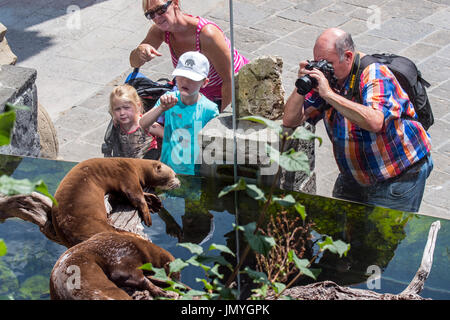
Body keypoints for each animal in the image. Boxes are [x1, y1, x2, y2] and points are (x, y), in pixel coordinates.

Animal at [51, 158, 181, 248]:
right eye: (174, 174)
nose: (179, 183)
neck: (137, 167)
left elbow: (121, 197)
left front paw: (154, 202)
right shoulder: (127, 176)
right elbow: (136, 196)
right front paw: (148, 217)